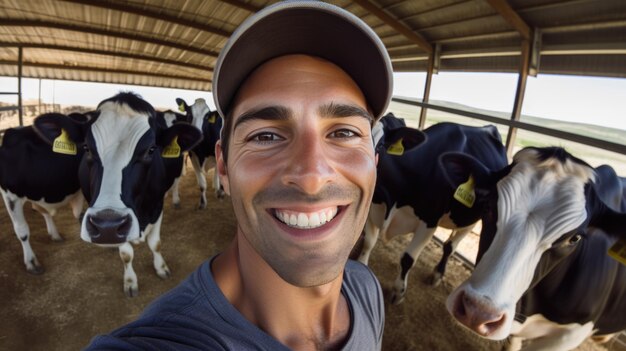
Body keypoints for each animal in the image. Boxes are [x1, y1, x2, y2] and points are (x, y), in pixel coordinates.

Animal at [33, 93, 201, 296]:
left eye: (151, 150)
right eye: (86, 148)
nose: (107, 226)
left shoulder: (157, 206)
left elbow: (155, 243)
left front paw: (161, 268)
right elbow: (126, 255)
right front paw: (130, 282)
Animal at [356, 117, 508, 304]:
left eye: (379, 147)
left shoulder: (429, 221)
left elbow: (407, 258)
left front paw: (398, 292)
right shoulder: (373, 208)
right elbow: (368, 242)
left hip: (473, 218)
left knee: (451, 246)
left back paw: (437, 274)